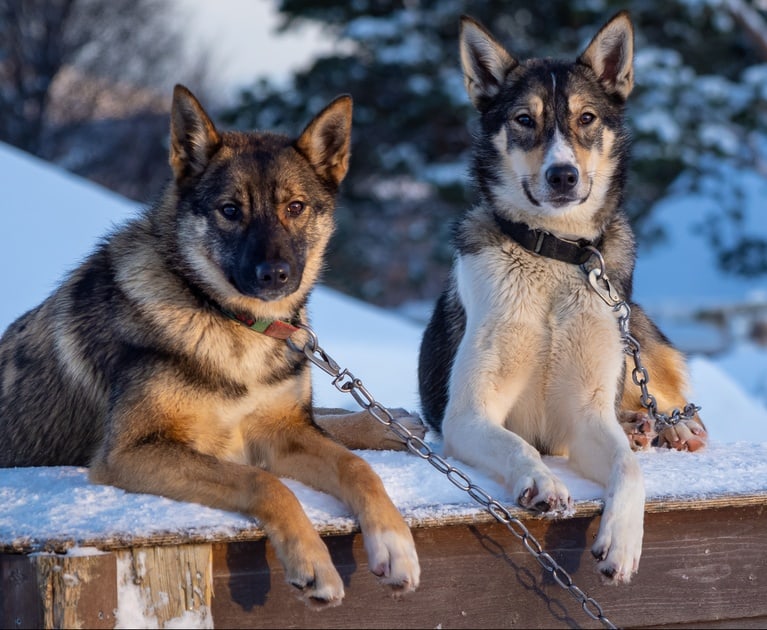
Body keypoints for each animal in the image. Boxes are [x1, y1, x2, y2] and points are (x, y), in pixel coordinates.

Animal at [0, 85, 420, 605]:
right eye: (231, 210)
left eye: (295, 207)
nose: (275, 275)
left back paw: (391, 426)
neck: (231, 320)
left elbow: (356, 467)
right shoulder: (132, 453)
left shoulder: (280, 431)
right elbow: (265, 482)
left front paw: (394, 544)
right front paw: (312, 564)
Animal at [418, 12, 706, 583]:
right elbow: (517, 444)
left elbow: (627, 468)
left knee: (663, 398)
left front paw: (622, 541)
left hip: (631, 339)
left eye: (587, 117)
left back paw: (666, 427)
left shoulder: (585, 415)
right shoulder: (468, 415)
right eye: (524, 120)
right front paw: (543, 482)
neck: (553, 255)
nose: (563, 174)